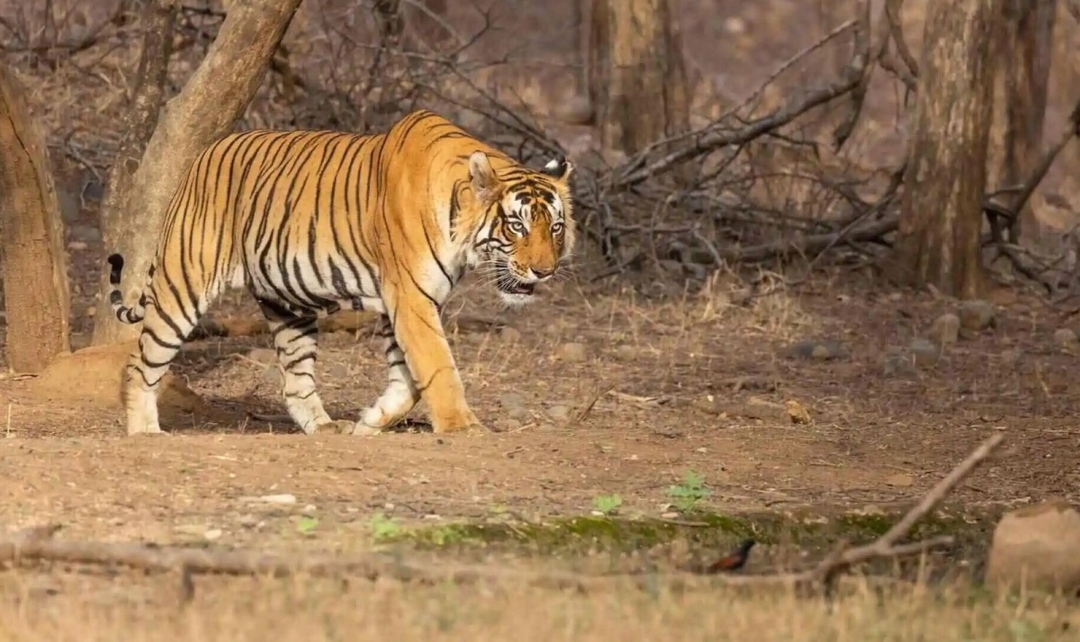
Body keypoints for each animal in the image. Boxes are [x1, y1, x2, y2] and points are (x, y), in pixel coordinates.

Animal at [106, 109, 575, 437]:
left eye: (554, 227)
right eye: (516, 226)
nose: (544, 271)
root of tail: (201, 157)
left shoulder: (401, 304)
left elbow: (409, 380)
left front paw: (371, 421)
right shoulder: (411, 298)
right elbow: (438, 366)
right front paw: (463, 428)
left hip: (287, 304)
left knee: (295, 382)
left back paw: (326, 427)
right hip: (183, 284)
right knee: (140, 362)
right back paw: (145, 431)